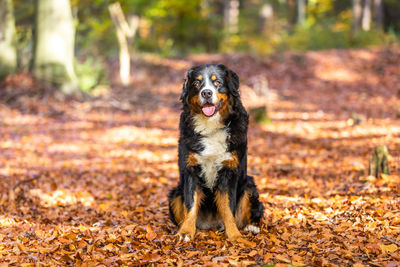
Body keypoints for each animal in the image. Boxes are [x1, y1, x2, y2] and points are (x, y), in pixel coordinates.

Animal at [167, 63, 264, 242]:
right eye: (196, 83)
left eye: (217, 82)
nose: (206, 92)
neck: (210, 126)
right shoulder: (190, 171)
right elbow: (190, 205)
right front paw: (186, 232)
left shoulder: (229, 172)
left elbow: (228, 208)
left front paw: (234, 234)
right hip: (175, 193)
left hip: (249, 185)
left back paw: (251, 227)